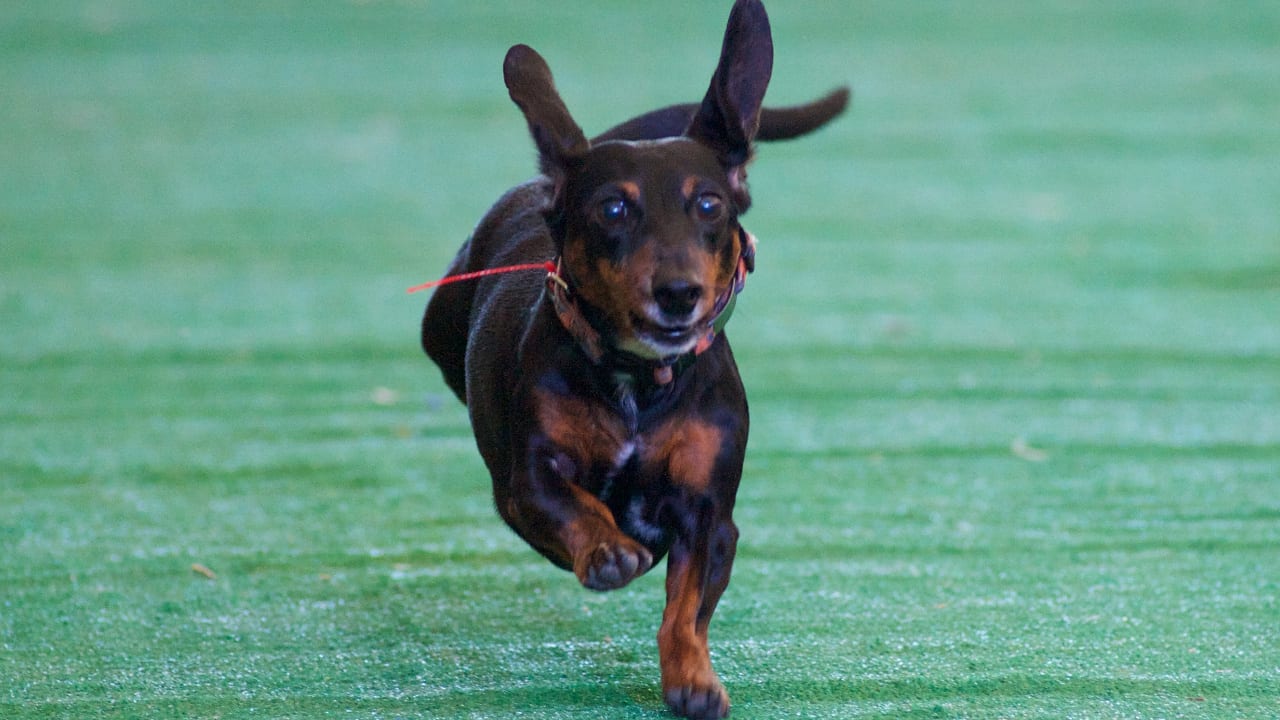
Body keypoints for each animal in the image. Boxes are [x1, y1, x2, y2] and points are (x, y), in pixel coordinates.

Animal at [417, 2, 839, 712]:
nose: (678, 292)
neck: (641, 383)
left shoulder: (709, 516)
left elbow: (686, 608)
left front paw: (693, 679)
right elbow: (569, 503)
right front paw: (608, 550)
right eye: (612, 207)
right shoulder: (524, 480)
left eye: (709, 205)